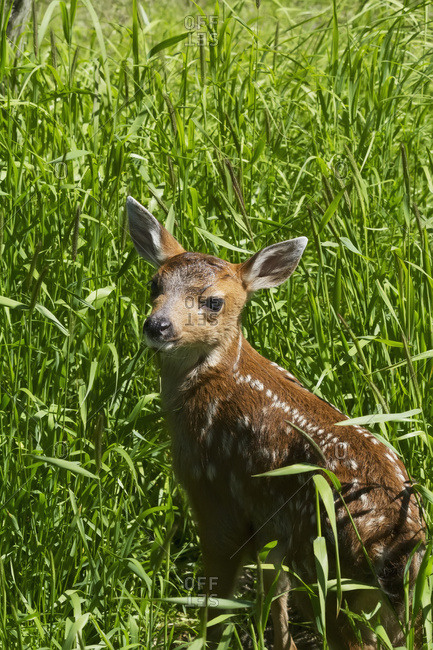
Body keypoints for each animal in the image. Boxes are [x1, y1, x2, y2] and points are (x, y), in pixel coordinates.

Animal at [127, 195, 426, 649]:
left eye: (213, 301)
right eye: (153, 285)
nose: (157, 325)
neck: (219, 376)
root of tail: (399, 539)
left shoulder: (212, 489)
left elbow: (219, 593)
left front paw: (208, 637)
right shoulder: (269, 524)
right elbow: (273, 591)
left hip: (330, 574)